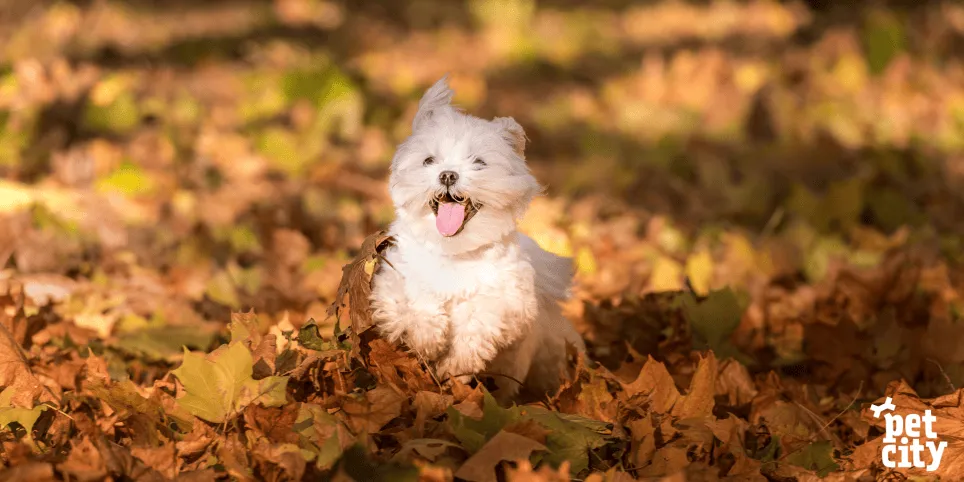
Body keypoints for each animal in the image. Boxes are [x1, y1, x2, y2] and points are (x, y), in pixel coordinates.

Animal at [370, 76, 584, 400]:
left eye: (479, 163)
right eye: (429, 160)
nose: (448, 175)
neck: (453, 253)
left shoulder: (509, 302)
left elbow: (479, 321)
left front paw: (454, 366)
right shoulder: (393, 277)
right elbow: (415, 300)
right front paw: (428, 337)